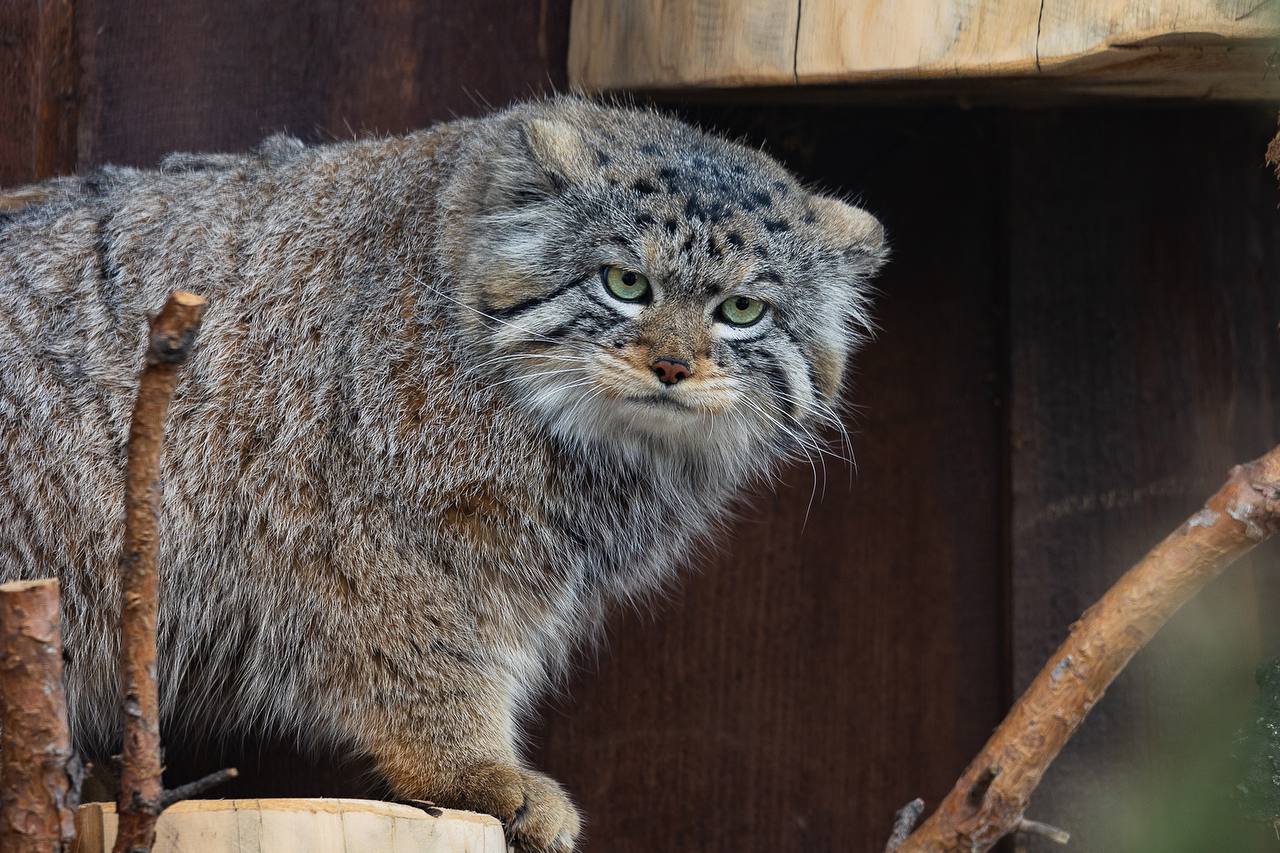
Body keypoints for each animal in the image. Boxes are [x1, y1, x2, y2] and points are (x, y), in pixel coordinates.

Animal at [0, 96, 886, 851]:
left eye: (741, 311)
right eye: (625, 282)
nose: (671, 366)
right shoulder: (378, 535)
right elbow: (423, 654)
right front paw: (471, 769)